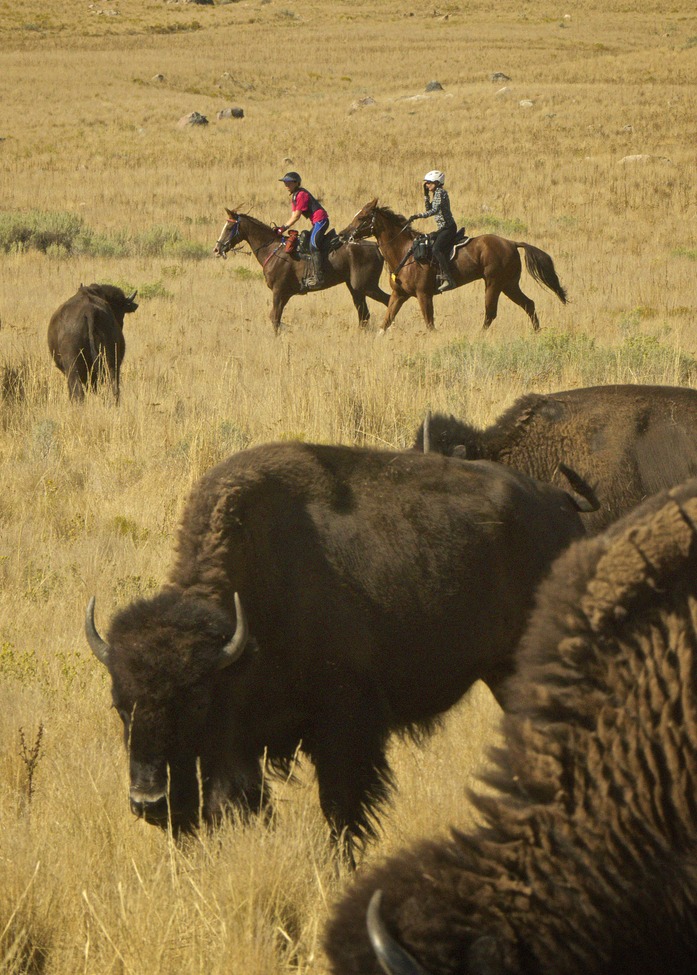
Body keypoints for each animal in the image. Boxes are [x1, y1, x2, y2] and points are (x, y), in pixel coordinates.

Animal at [86, 442, 591, 859]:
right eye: (120, 707)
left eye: (195, 703)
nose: (150, 801)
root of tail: (563, 506)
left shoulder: (344, 726)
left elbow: (342, 809)